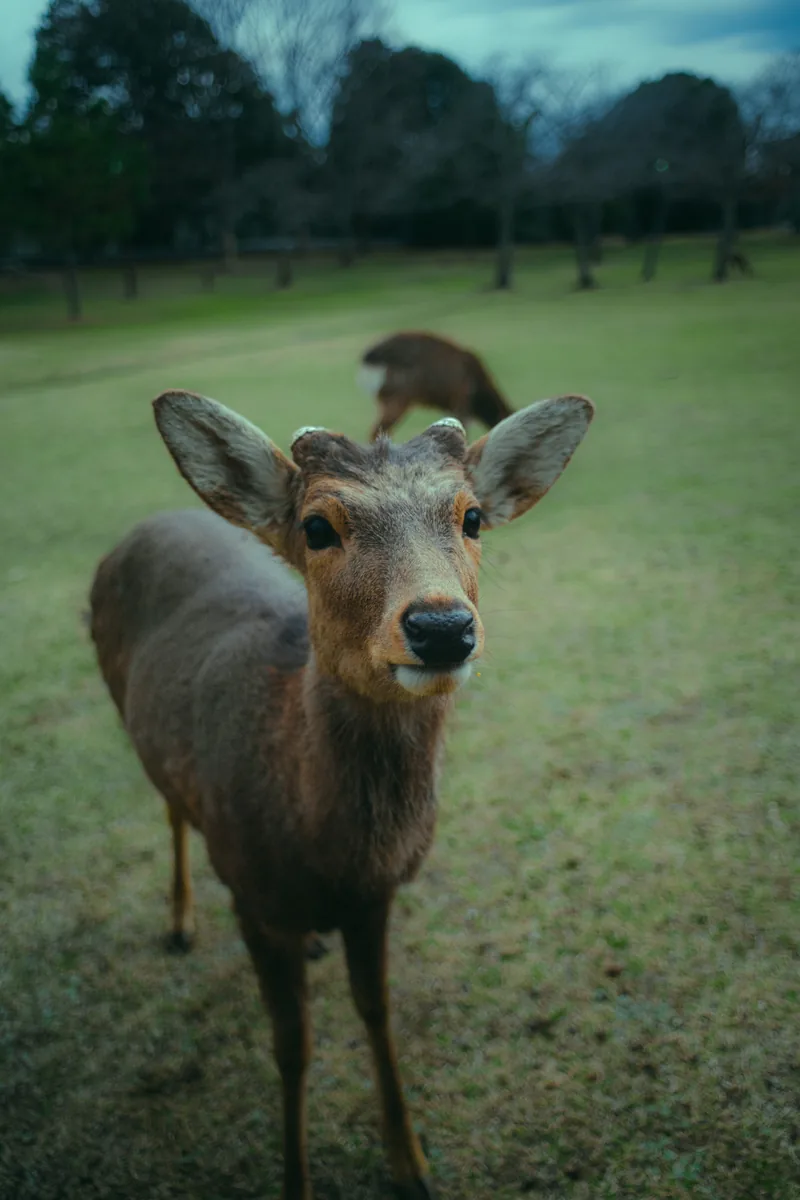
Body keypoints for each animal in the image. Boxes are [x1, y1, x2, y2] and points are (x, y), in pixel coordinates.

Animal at [89, 386, 594, 1200]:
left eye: (472, 517)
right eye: (317, 526)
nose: (441, 626)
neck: (324, 848)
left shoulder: (378, 893)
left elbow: (377, 1011)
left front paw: (411, 1162)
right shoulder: (251, 893)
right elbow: (291, 1047)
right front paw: (295, 1177)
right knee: (169, 807)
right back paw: (180, 921)